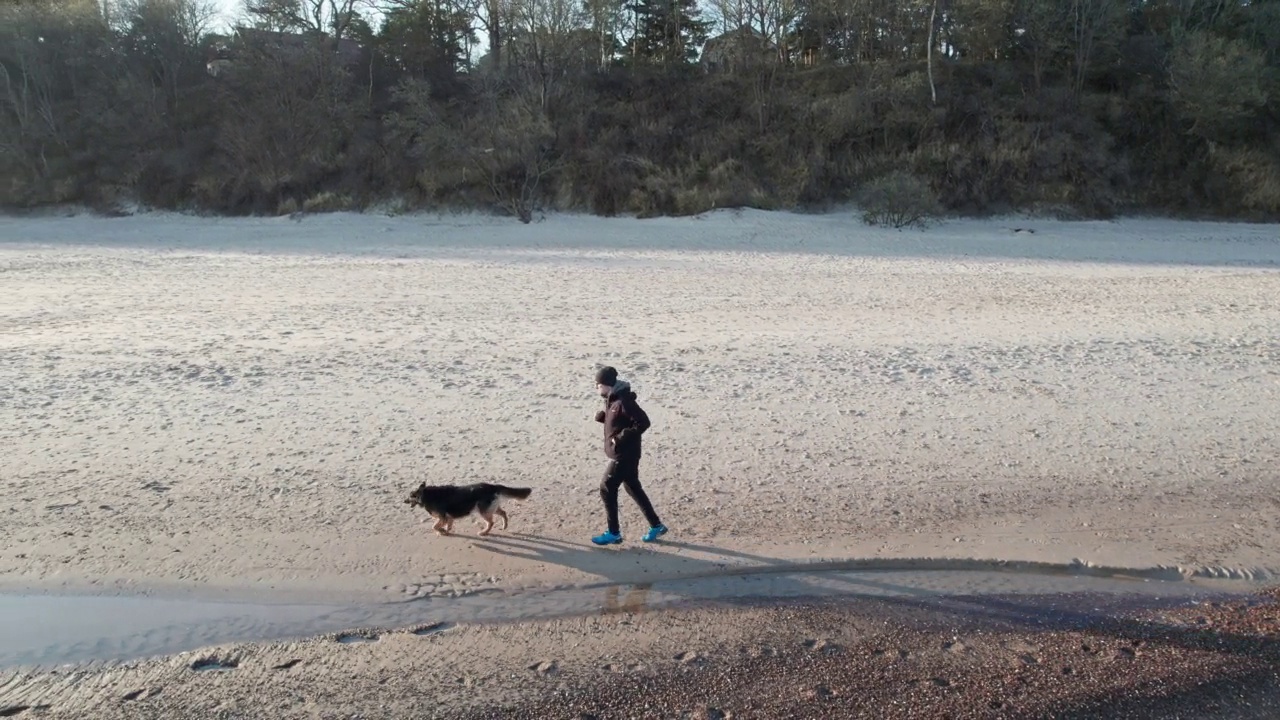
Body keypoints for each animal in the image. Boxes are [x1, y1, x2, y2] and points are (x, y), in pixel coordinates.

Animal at [404, 481, 535, 532]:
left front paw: (441, 531)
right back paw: (504, 526)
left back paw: (484, 533)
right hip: (491, 508)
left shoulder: (443, 517)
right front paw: (446, 531)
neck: (425, 495)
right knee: (503, 513)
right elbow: (447, 524)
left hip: (483, 511)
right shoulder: (448, 518)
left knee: (491, 522)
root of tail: (492, 486)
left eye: (410, 496)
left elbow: (434, 526)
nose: (404, 501)